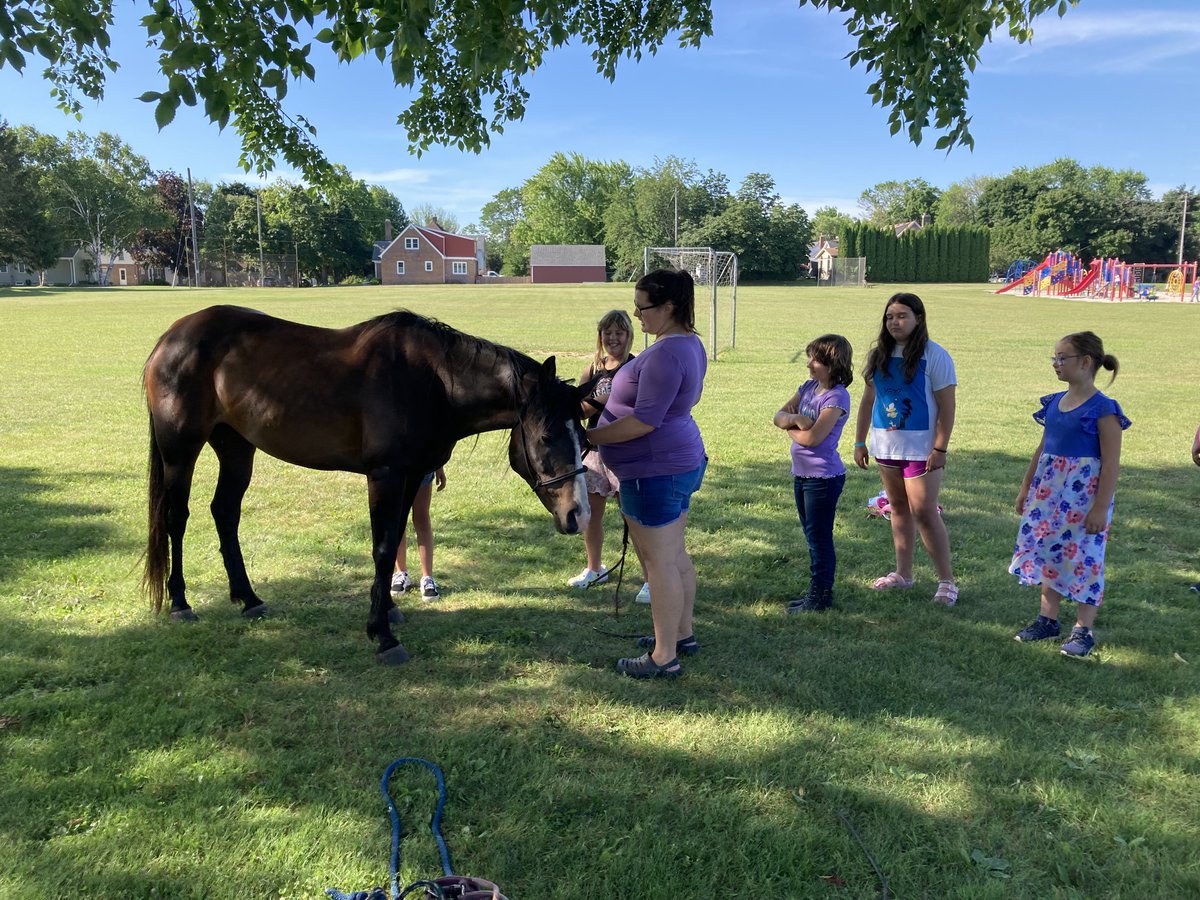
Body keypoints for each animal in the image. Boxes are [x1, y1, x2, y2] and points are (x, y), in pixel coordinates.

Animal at [143, 305, 591, 665]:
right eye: (547, 436)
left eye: (584, 440)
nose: (578, 514)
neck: (433, 382)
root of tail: (171, 337)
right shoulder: (385, 475)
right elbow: (381, 548)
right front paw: (383, 635)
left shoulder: (410, 476)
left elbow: (394, 542)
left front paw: (388, 610)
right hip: (180, 450)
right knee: (176, 517)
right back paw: (180, 602)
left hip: (236, 447)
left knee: (225, 512)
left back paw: (248, 599)